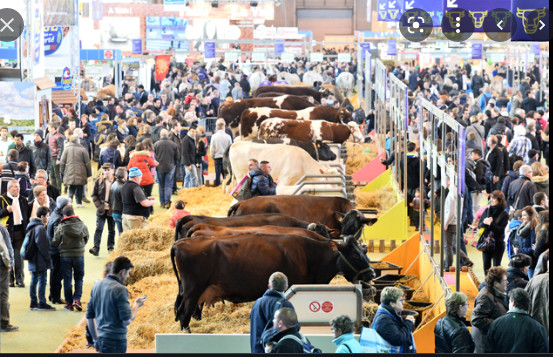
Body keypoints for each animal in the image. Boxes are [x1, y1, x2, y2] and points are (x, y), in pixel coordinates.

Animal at [170, 235, 374, 330]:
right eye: (355, 254)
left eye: (364, 251)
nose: (371, 273)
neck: (310, 256)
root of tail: (180, 243)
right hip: (192, 290)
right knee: (184, 314)